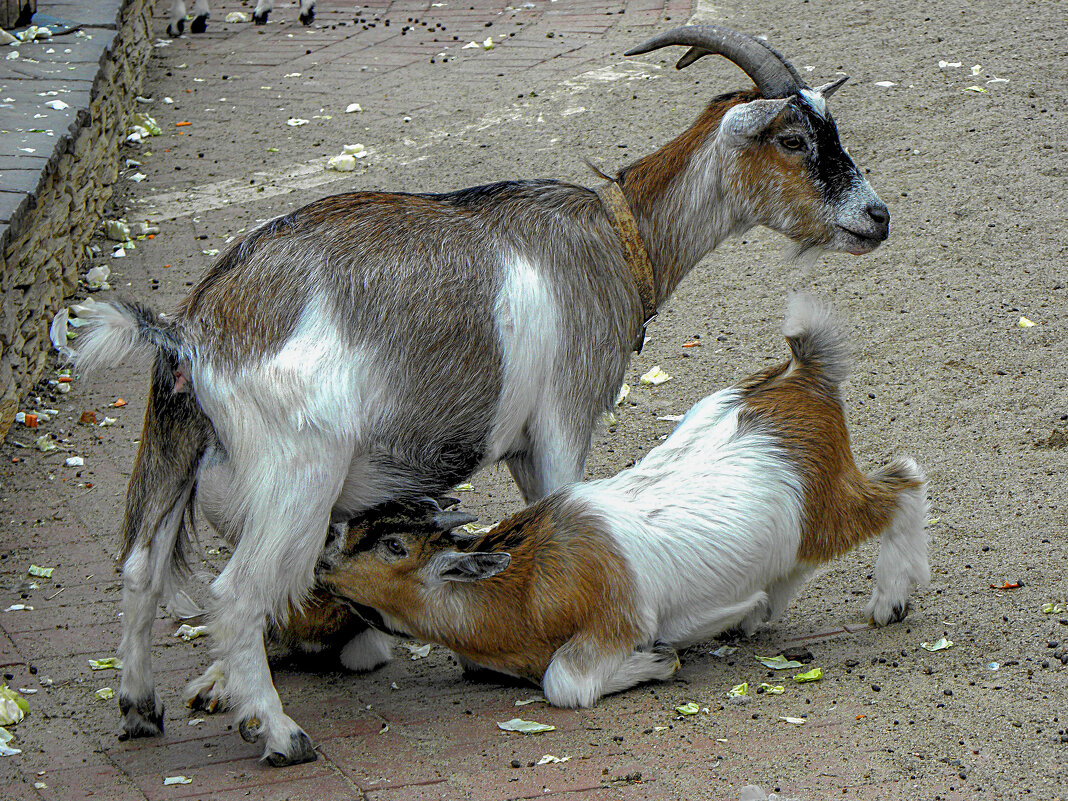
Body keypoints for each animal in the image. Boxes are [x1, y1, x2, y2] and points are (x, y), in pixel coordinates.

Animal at [316, 296, 927, 709]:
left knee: (903, 482)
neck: (529, 585)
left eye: (394, 547)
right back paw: (754, 613)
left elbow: (563, 682)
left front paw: (658, 659)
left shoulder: (613, 620)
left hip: (826, 505)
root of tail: (801, 376)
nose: (322, 562)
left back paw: (889, 601)